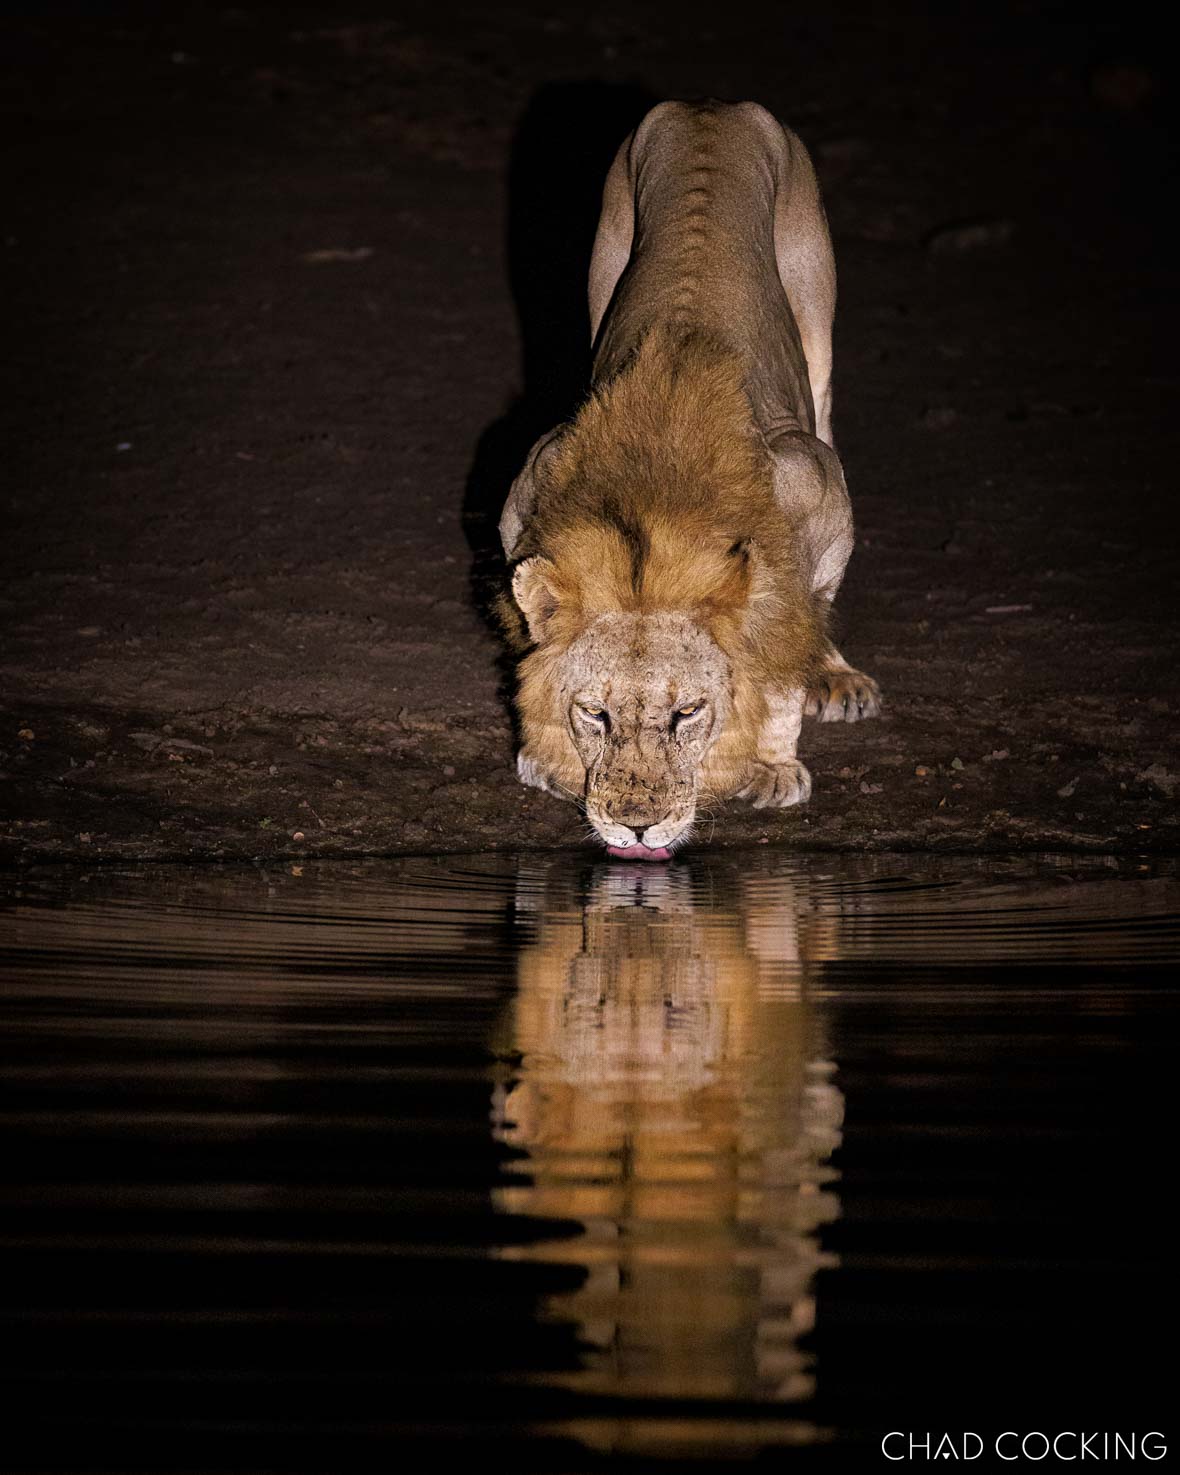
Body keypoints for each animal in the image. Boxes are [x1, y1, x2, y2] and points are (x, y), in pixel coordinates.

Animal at [499, 100, 880, 859]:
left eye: (687, 713)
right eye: (596, 713)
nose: (636, 827)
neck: (650, 519)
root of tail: (713, 106)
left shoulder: (813, 488)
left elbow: (784, 640)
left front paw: (771, 764)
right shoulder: (530, 483)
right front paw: (545, 757)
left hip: (815, 320)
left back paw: (835, 676)